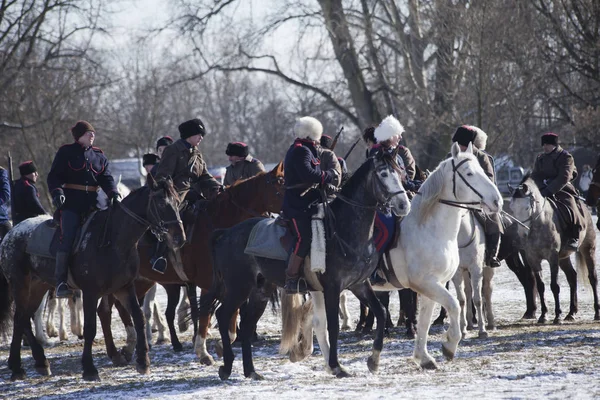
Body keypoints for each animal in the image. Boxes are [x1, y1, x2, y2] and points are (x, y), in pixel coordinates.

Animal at [0, 177, 183, 382]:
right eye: (161, 203)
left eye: (178, 202)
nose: (179, 237)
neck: (114, 240)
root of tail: (10, 234)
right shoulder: (90, 292)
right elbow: (90, 328)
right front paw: (89, 368)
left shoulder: (124, 288)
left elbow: (139, 317)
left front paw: (143, 361)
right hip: (21, 286)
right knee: (19, 318)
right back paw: (20, 366)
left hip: (39, 287)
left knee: (23, 319)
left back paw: (35, 363)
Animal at [96, 162, 286, 366]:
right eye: (281, 187)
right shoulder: (208, 284)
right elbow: (204, 316)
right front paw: (203, 352)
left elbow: (230, 317)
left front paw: (221, 343)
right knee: (105, 311)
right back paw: (117, 351)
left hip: (141, 282)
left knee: (121, 308)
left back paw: (128, 348)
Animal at [204, 152, 410, 380]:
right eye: (383, 174)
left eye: (399, 172)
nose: (404, 205)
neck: (343, 230)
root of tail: (226, 233)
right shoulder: (332, 287)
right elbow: (333, 325)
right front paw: (336, 366)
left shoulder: (359, 284)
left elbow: (381, 312)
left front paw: (373, 360)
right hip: (239, 287)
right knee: (223, 316)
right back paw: (227, 366)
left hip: (260, 291)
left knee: (247, 324)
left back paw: (251, 371)